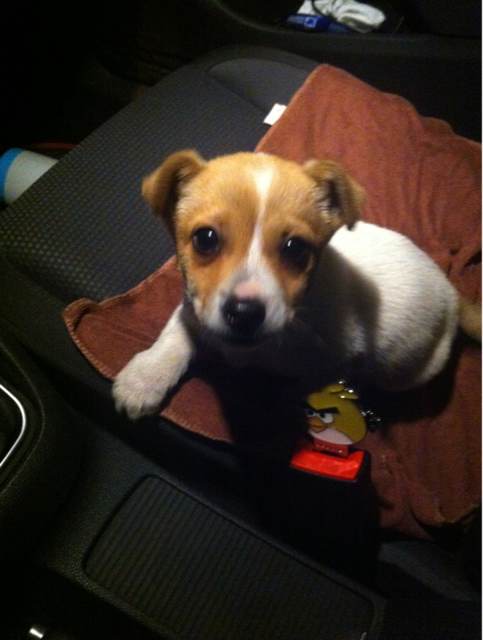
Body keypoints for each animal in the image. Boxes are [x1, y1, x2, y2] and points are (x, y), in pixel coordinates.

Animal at [113, 150, 480, 419]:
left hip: (410, 370)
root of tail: (453, 293)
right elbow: (175, 336)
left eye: (295, 248)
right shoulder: (194, 306)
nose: (244, 313)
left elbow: (299, 387)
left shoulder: (336, 362)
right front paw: (144, 379)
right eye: (205, 239)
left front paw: (276, 404)